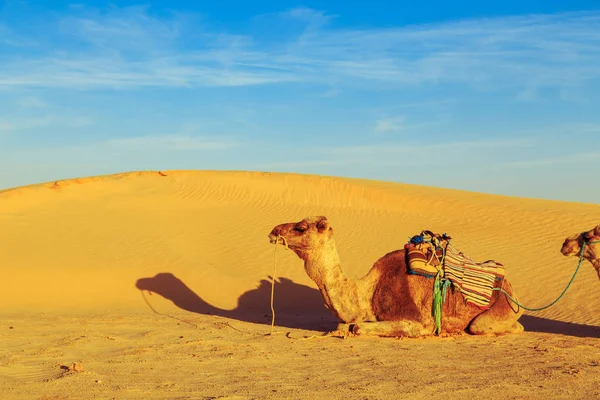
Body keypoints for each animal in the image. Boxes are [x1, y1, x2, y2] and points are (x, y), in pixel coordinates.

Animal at [268, 216, 524, 338]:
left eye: (301, 227)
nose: (273, 231)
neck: (369, 293)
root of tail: (511, 287)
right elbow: (345, 324)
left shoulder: (420, 322)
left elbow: (357, 327)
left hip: (499, 310)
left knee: (491, 326)